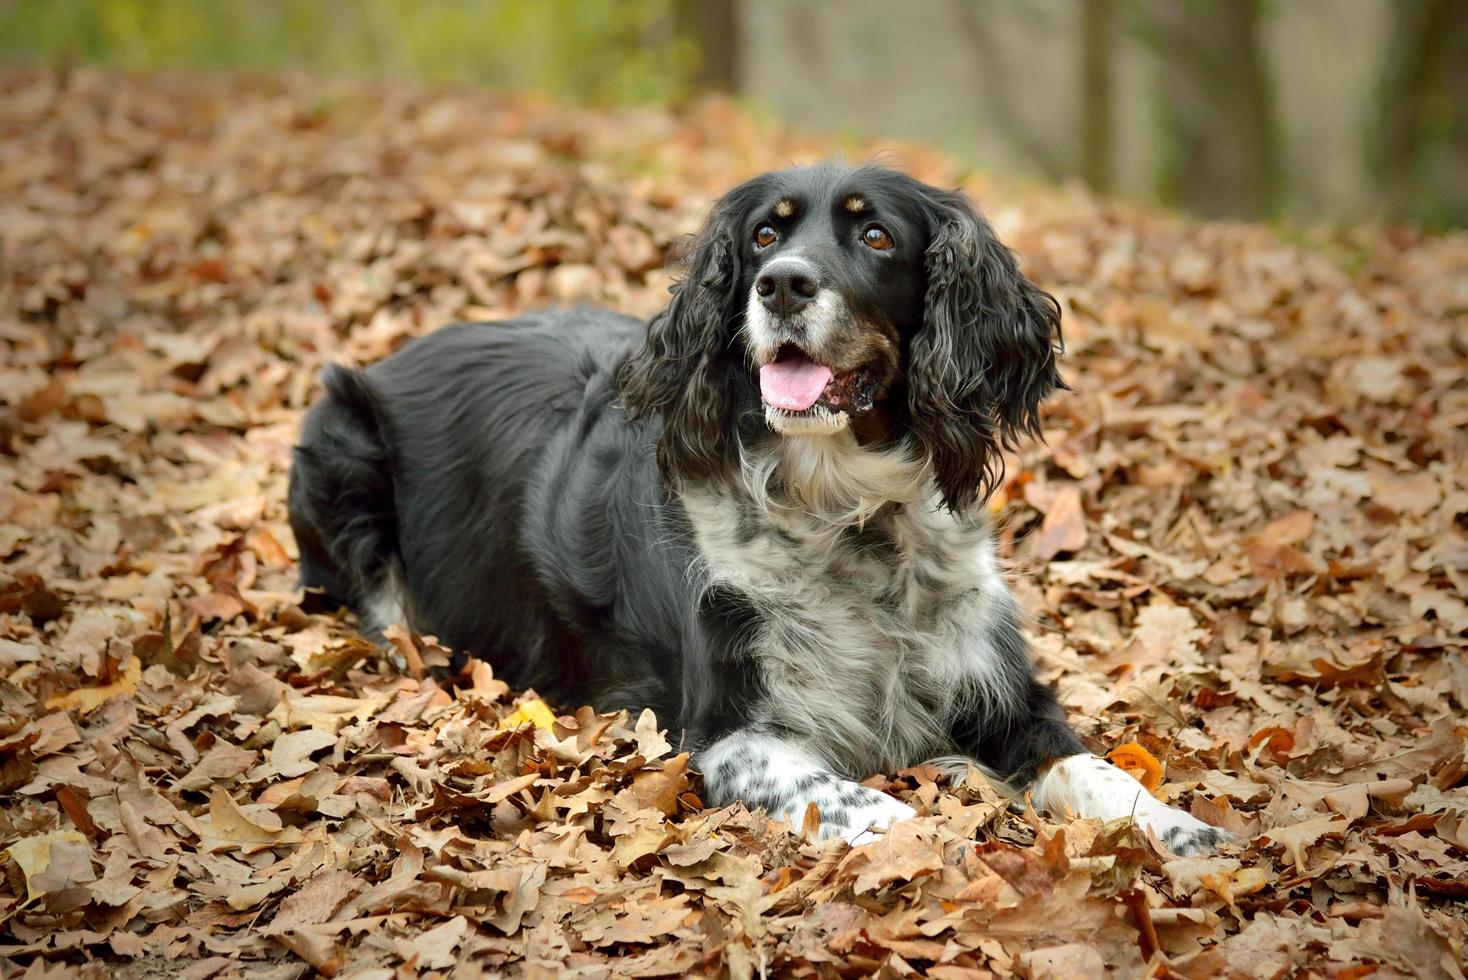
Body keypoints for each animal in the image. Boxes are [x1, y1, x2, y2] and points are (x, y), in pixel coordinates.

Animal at [286, 164, 1227, 850]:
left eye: (877, 235)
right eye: (765, 235)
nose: (781, 284)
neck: (849, 517)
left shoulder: (999, 689)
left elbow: (1100, 769)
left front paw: (1186, 835)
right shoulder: (723, 732)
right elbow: (866, 805)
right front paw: (940, 836)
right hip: (339, 440)